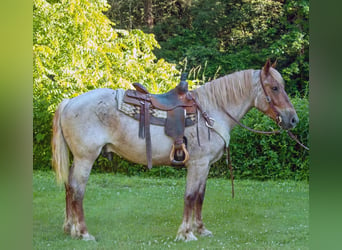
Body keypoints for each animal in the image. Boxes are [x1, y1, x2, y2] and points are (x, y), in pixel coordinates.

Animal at [51, 59, 300, 241]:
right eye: (275, 87)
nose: (293, 119)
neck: (212, 110)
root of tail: (69, 102)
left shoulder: (205, 166)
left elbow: (200, 196)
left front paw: (201, 229)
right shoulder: (198, 164)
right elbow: (190, 196)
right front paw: (186, 233)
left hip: (78, 159)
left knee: (68, 188)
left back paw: (69, 228)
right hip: (85, 158)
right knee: (77, 191)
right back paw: (83, 232)